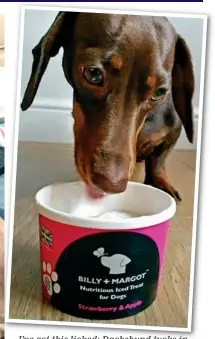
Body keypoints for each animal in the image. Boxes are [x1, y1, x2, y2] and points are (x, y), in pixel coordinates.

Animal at [20, 11, 195, 201]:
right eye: (93, 73)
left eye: (159, 92)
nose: (112, 186)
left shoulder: (173, 130)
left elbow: (159, 160)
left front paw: (160, 182)